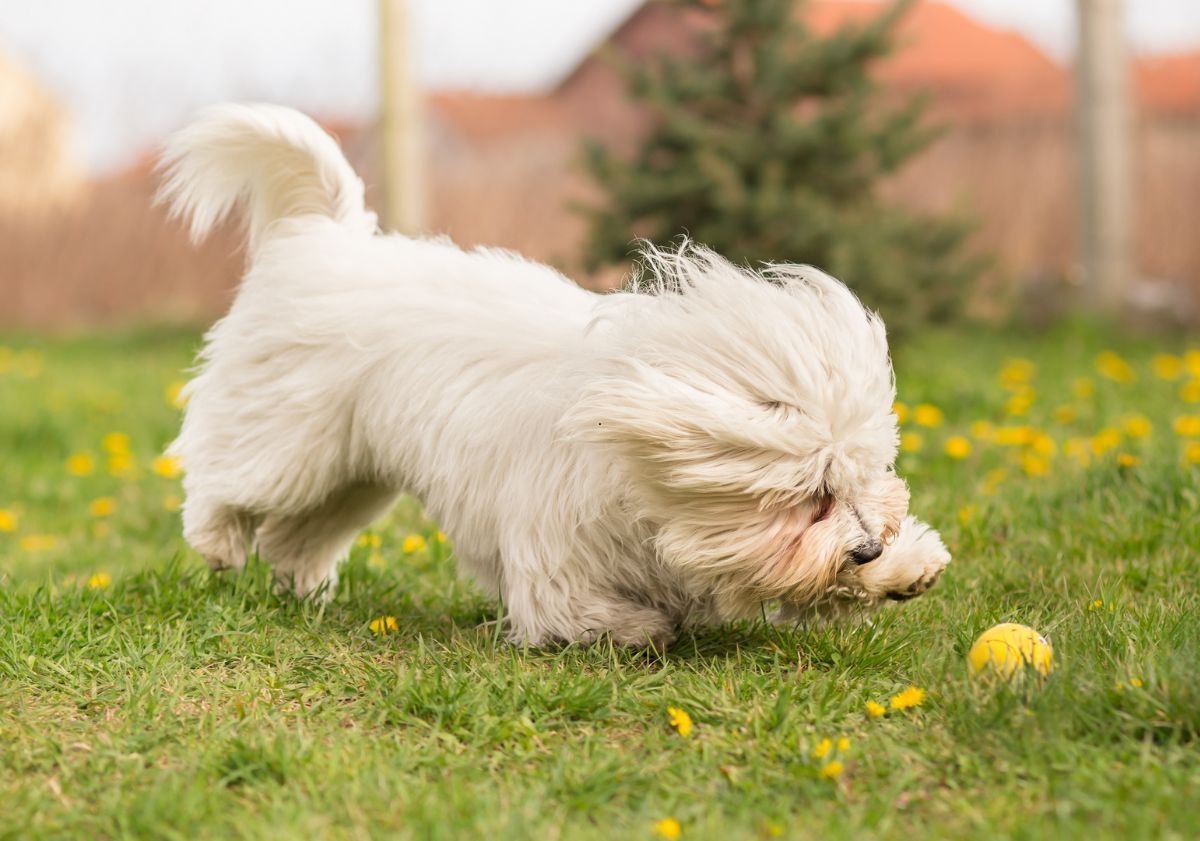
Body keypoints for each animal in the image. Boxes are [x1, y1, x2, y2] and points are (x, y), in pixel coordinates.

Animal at [159, 103, 950, 643]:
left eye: (867, 473)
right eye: (811, 494)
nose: (868, 543)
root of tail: (328, 238)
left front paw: (903, 566)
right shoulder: (556, 555)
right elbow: (577, 609)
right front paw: (642, 627)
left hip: (355, 471)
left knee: (298, 535)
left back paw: (303, 589)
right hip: (288, 439)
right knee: (225, 484)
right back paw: (218, 544)